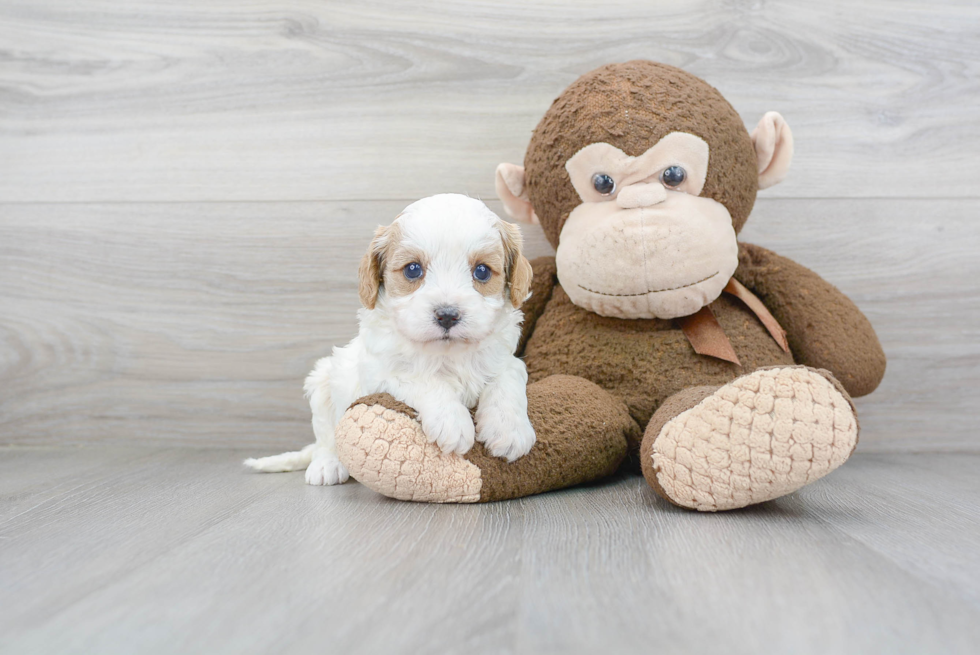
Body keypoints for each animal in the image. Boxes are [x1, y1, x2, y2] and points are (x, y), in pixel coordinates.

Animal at [245, 195, 536, 486]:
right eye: (413, 270)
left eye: (482, 272)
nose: (447, 315)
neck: (447, 353)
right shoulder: (382, 373)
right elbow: (426, 380)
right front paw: (451, 421)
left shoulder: (505, 360)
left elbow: (507, 378)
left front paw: (510, 429)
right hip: (323, 383)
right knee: (325, 438)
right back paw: (327, 465)